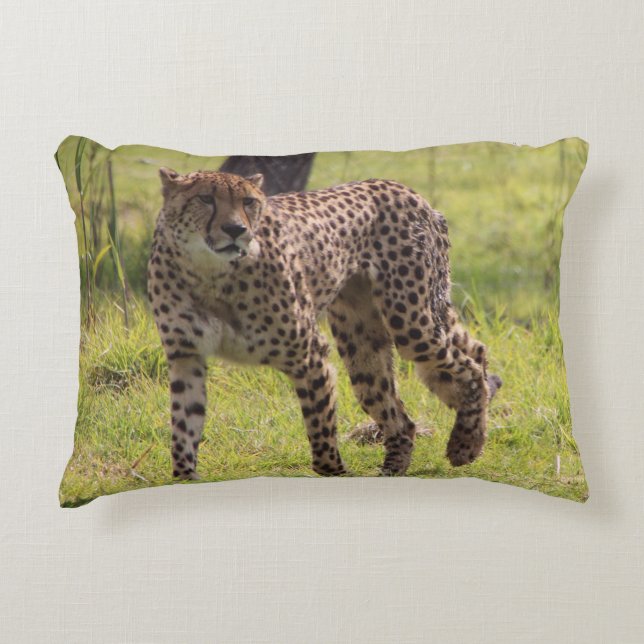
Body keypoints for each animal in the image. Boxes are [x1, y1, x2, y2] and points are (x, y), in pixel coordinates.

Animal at [147, 168, 502, 480]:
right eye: (205, 198)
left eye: (248, 202)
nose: (236, 230)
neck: (208, 271)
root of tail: (408, 192)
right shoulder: (186, 357)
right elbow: (184, 424)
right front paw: (185, 476)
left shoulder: (309, 353)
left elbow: (319, 424)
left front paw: (336, 472)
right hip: (364, 346)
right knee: (413, 406)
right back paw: (396, 467)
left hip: (411, 322)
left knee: (466, 366)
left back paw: (466, 444)